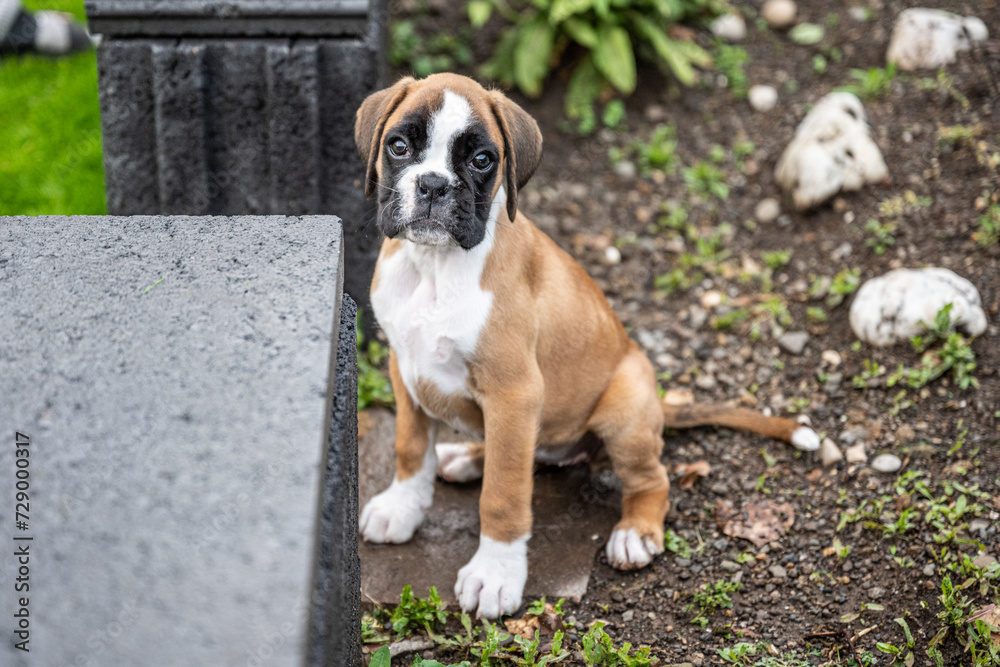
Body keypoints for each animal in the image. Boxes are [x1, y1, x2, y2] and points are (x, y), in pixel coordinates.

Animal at [356, 74, 816, 620]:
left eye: (482, 160)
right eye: (399, 146)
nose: (431, 185)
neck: (434, 267)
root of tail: (658, 402)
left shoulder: (514, 393)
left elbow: (504, 493)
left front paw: (495, 574)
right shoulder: (405, 366)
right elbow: (409, 448)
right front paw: (400, 508)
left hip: (623, 413)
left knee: (650, 479)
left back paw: (635, 533)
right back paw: (465, 456)